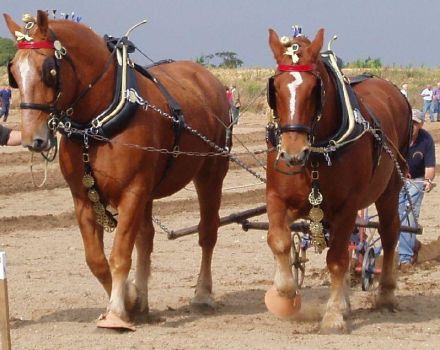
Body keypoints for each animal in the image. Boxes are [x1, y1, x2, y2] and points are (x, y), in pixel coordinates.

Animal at [4, 10, 230, 328]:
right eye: (13, 71)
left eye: (49, 70)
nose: (31, 138)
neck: (96, 123)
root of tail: (207, 78)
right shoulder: (83, 197)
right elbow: (97, 259)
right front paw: (131, 300)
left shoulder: (133, 191)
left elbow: (120, 253)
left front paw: (116, 313)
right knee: (146, 237)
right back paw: (144, 302)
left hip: (211, 172)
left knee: (208, 231)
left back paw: (203, 295)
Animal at [264, 28, 412, 332]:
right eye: (276, 87)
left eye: (315, 89)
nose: (293, 153)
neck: (315, 155)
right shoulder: (277, 198)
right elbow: (280, 240)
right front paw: (285, 294)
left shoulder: (347, 207)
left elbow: (337, 259)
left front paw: (332, 315)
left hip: (389, 190)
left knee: (389, 232)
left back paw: (386, 293)